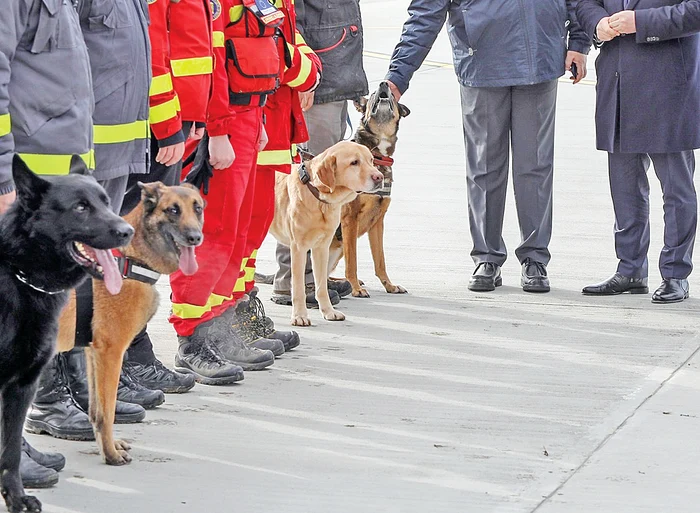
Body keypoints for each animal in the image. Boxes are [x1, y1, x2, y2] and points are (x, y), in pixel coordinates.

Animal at [55, 182, 204, 466]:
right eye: (173, 210)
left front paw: (109, 447)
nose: (195, 238)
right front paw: (110, 455)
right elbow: (108, 412)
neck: (131, 258)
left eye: (198, 208)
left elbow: (96, 410)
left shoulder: (94, 354)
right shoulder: (111, 353)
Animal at [270, 141, 386, 324]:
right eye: (354, 162)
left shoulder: (321, 248)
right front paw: (300, 316)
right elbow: (298, 287)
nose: (380, 177)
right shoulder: (299, 248)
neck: (318, 197)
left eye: (371, 160)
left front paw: (328, 312)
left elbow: (321, 286)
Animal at [328, 80, 410, 296]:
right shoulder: (350, 218)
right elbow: (353, 261)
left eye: (392, 95)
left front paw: (389, 285)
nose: (384, 83)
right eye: (373, 93)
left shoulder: (378, 221)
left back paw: (339, 282)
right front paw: (356, 288)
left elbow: (380, 260)